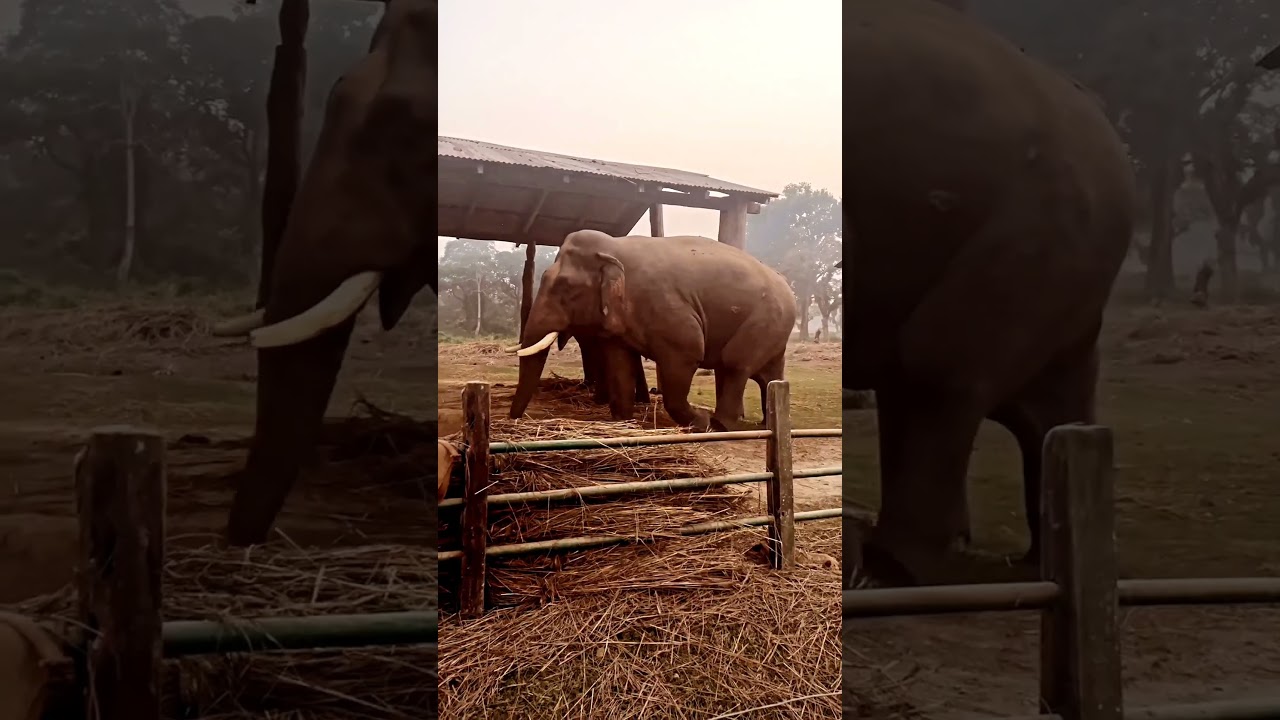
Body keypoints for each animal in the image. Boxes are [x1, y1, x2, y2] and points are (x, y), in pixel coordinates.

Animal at [507, 230, 797, 431]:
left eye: (566, 287)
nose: (515, 421)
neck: (614, 246)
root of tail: (785, 283)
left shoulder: (669, 309)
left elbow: (688, 352)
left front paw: (700, 422)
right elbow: (619, 363)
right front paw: (623, 421)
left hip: (767, 317)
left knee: (734, 363)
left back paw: (721, 424)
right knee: (765, 374)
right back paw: (764, 423)